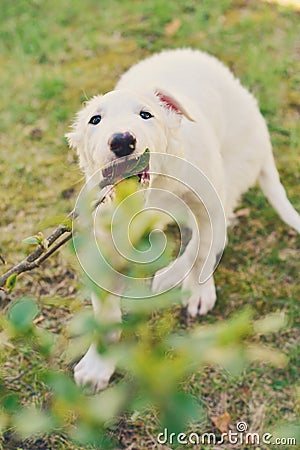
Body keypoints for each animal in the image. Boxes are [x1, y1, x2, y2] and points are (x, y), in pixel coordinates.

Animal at [66, 48, 300, 390]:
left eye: (146, 115)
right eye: (95, 120)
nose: (122, 141)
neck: (158, 185)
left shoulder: (207, 200)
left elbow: (204, 250)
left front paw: (199, 292)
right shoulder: (105, 232)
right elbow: (105, 310)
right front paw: (98, 364)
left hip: (228, 176)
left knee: (214, 234)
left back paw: (175, 275)